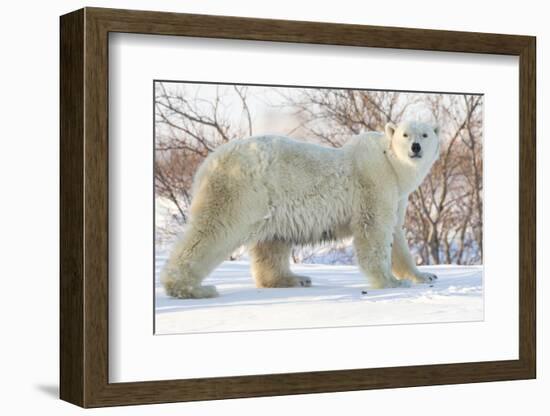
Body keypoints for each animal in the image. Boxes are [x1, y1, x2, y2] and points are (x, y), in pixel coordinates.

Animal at [162, 120, 442, 300]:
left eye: (425, 134)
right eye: (405, 135)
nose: (415, 147)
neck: (390, 163)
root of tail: (208, 163)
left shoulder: (397, 195)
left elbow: (396, 234)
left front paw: (424, 275)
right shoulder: (374, 183)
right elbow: (374, 230)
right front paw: (390, 281)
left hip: (269, 202)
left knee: (271, 243)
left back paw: (295, 278)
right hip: (241, 189)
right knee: (213, 230)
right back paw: (191, 288)